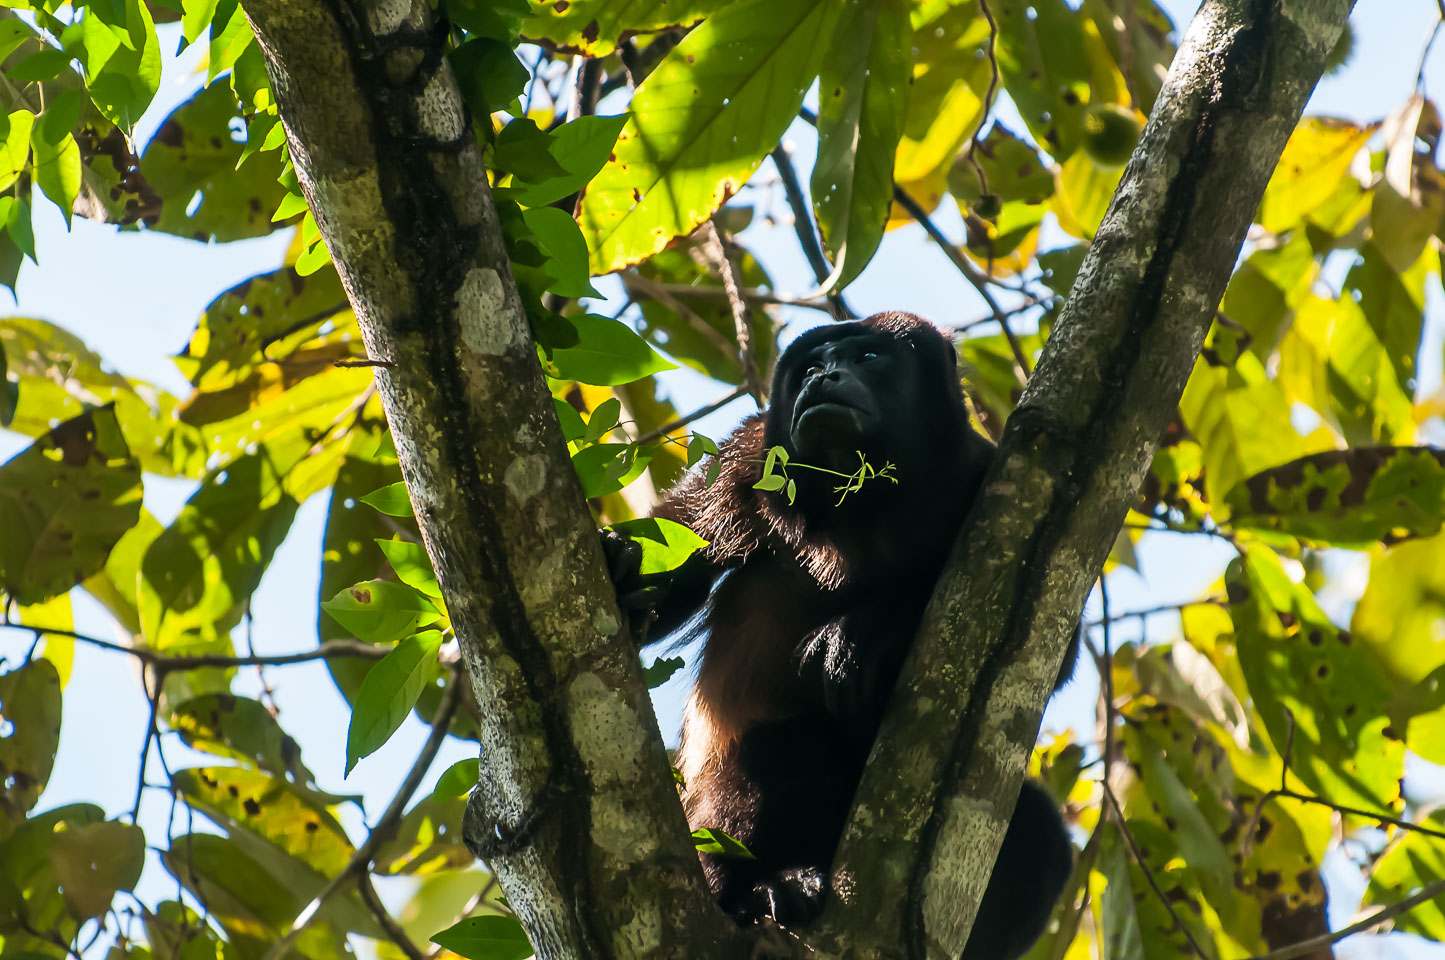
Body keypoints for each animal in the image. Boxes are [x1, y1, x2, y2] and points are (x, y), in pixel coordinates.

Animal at [609, 310, 1075, 954]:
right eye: (809, 366)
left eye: (868, 358)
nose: (822, 376)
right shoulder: (746, 460)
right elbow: (679, 550)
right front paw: (625, 566)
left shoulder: (989, 479)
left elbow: (1049, 640)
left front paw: (860, 632)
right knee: (779, 749)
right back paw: (764, 891)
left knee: (1041, 833)